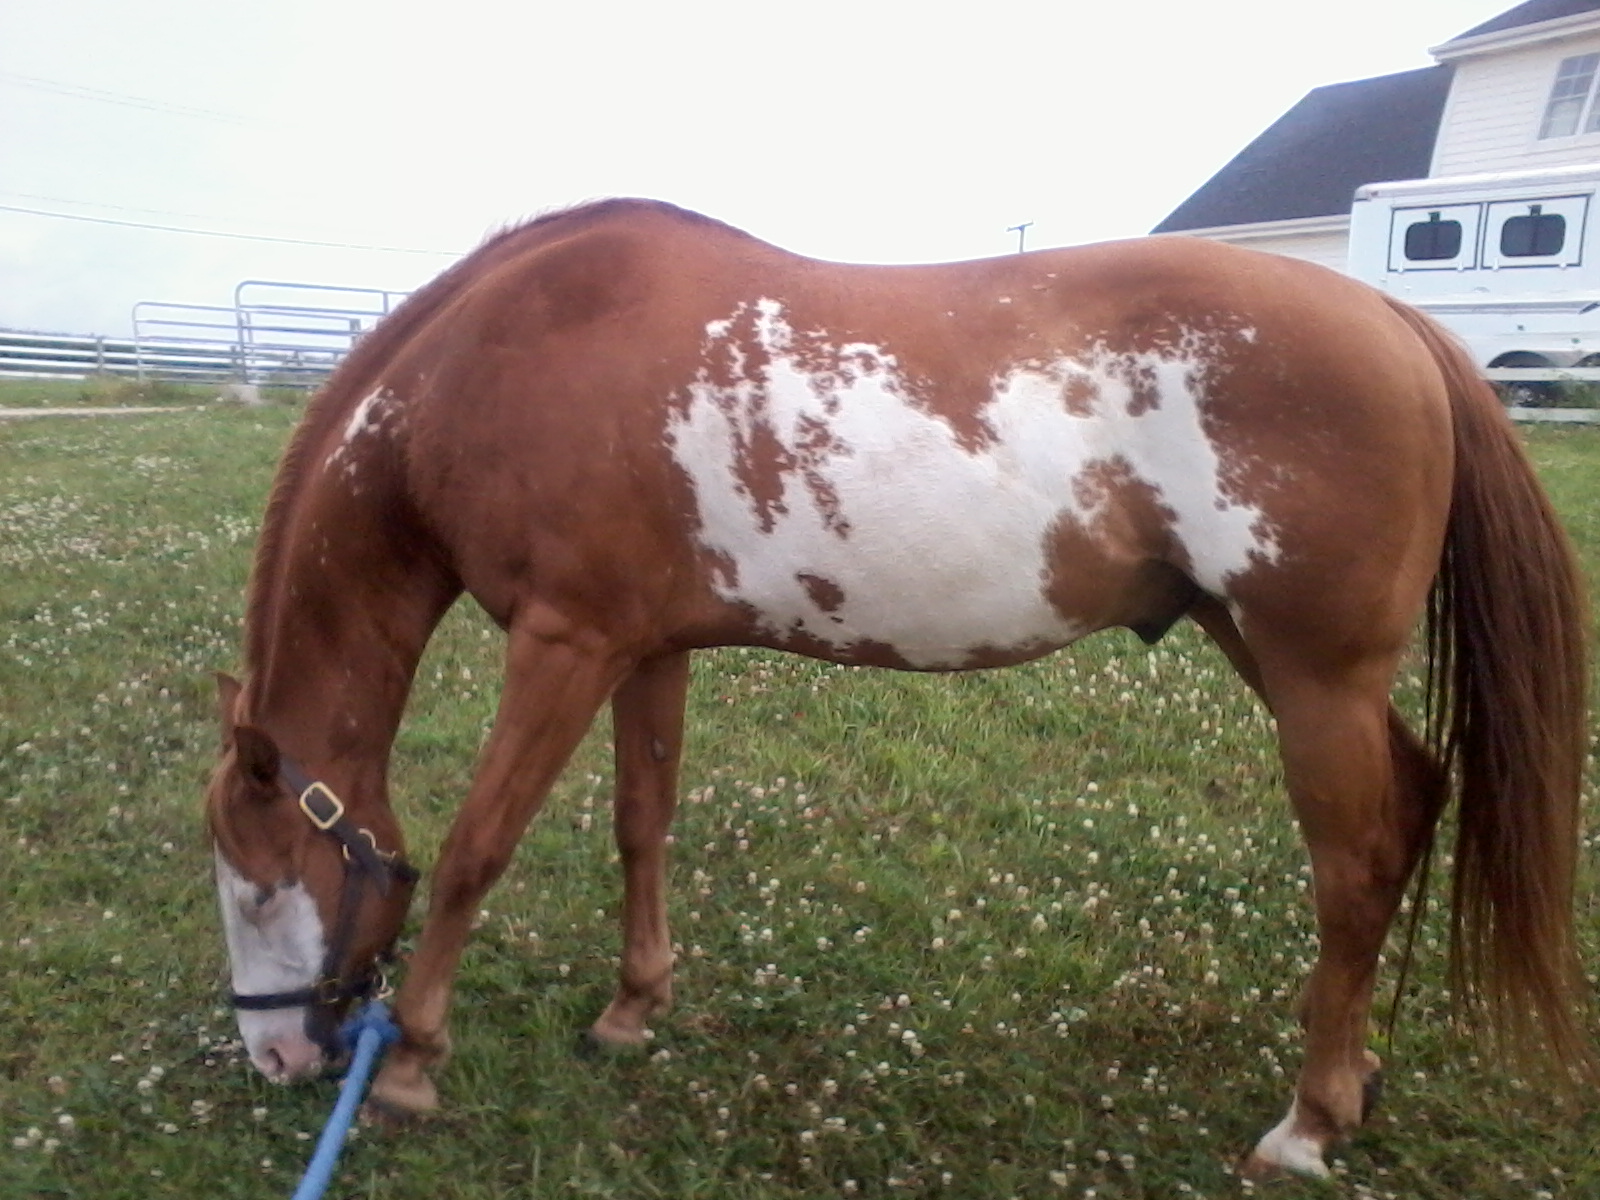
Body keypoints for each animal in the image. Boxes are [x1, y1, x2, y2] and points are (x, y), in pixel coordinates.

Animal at [204, 198, 1591, 1179]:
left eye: (258, 877)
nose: (274, 1055)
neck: (506, 361)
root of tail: (1398, 325)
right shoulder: (642, 647)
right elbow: (641, 824)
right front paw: (632, 1009)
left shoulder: (562, 644)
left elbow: (479, 848)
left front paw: (410, 1066)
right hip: (1272, 653)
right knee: (1408, 808)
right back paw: (1351, 1084)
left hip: (1312, 673)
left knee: (1352, 864)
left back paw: (1302, 1125)